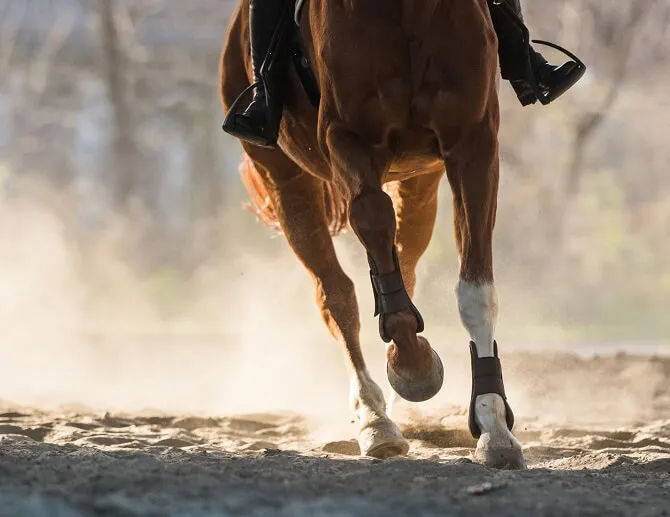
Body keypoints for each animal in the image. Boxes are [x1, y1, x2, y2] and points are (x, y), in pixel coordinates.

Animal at [219, 0, 525, 469]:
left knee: (403, 262)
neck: (404, 10)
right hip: (284, 179)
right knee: (336, 294)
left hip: (420, 182)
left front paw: (493, 425)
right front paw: (414, 367)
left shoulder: (472, 143)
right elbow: (373, 222)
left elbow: (475, 290)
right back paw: (374, 419)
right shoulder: (348, 139)